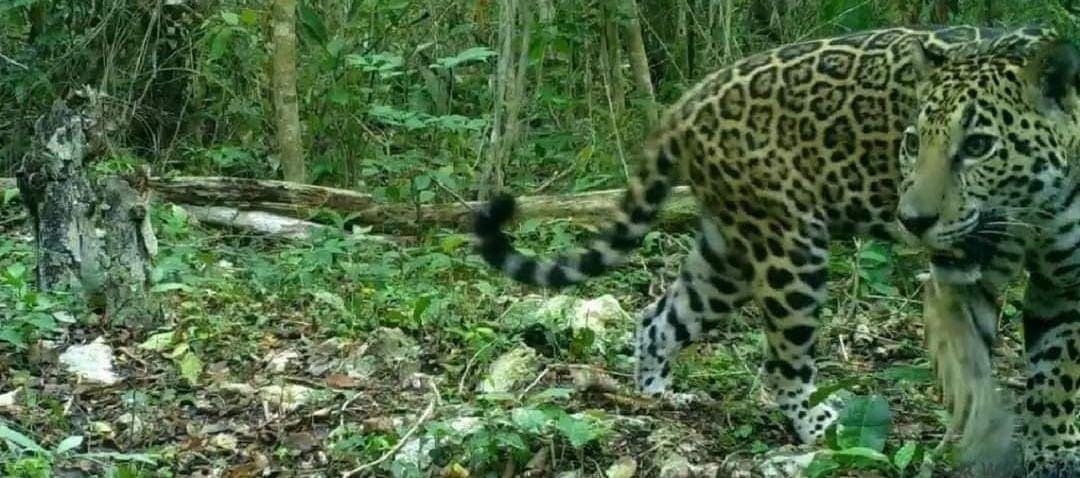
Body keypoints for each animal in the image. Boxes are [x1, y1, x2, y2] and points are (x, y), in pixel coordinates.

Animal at [473, 25, 1080, 476]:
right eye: (912, 141)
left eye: (978, 145)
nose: (913, 221)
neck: (1034, 206)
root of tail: (691, 97)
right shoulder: (957, 279)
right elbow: (971, 369)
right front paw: (986, 437)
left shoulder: (1063, 285)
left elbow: (1056, 376)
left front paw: (1052, 450)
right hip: (790, 248)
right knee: (783, 364)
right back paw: (823, 429)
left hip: (726, 256)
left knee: (659, 318)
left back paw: (660, 395)